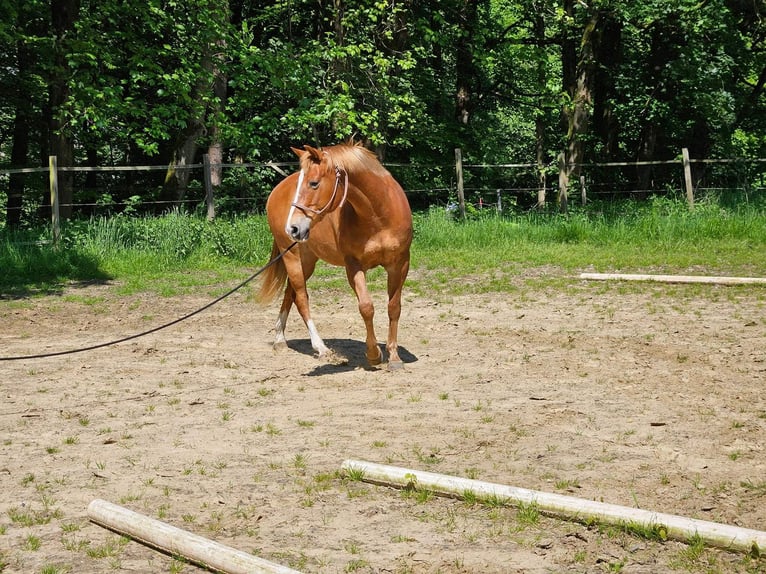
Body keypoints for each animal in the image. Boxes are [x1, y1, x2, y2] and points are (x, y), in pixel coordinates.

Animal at [258, 142, 414, 372]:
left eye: (314, 183)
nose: (292, 228)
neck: (377, 216)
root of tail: (276, 191)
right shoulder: (353, 266)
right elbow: (366, 307)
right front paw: (373, 354)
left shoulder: (400, 264)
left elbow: (394, 307)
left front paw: (394, 357)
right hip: (292, 257)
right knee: (301, 298)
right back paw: (321, 348)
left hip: (307, 261)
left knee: (290, 293)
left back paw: (280, 340)